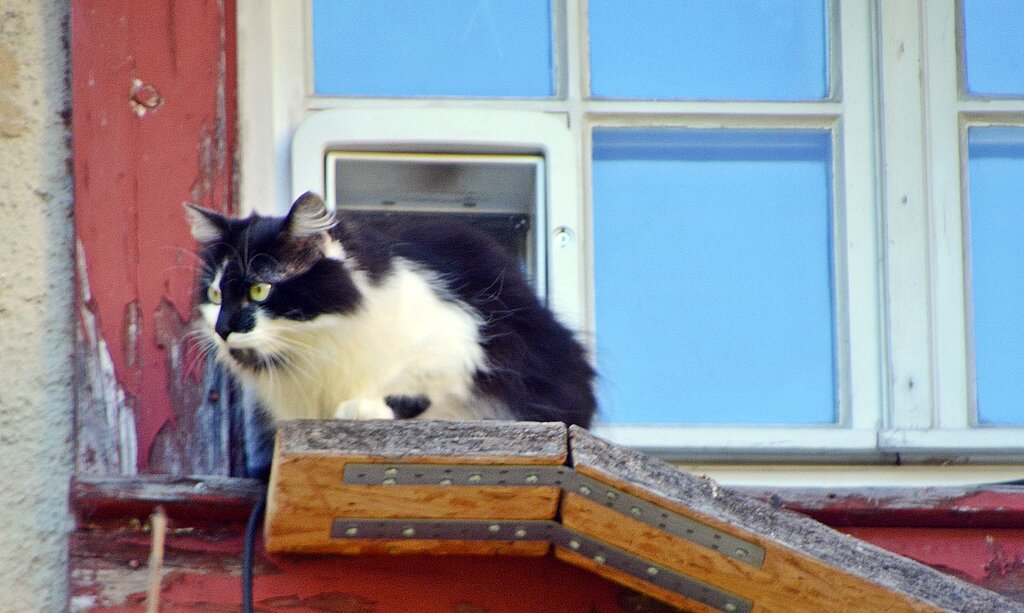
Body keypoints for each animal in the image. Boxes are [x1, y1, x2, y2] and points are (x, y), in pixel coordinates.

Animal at [188, 190, 598, 427]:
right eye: (215, 295)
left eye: (260, 289)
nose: (222, 329)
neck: (318, 347)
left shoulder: (466, 343)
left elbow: (412, 388)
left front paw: (361, 409)